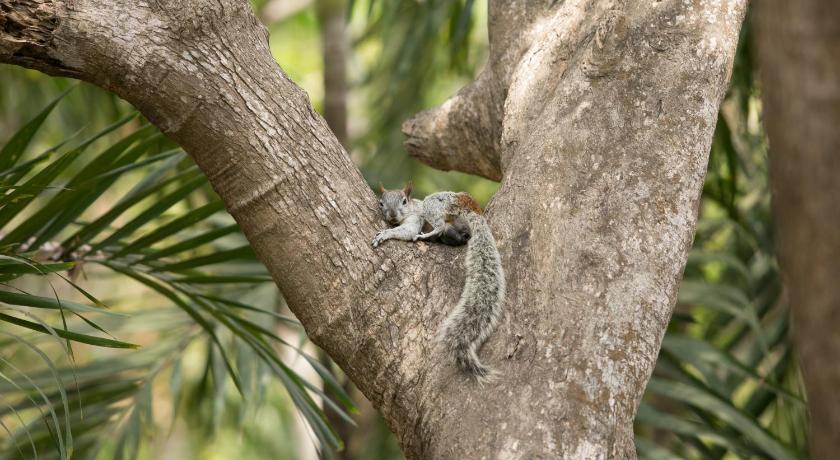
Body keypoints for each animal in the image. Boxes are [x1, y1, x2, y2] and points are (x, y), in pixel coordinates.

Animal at [374, 183, 506, 380]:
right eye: (381, 203)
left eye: (404, 201)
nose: (391, 215)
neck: (409, 209)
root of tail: (471, 206)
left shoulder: (416, 217)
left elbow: (407, 231)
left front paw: (385, 234)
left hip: (437, 204)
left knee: (440, 225)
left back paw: (427, 235)